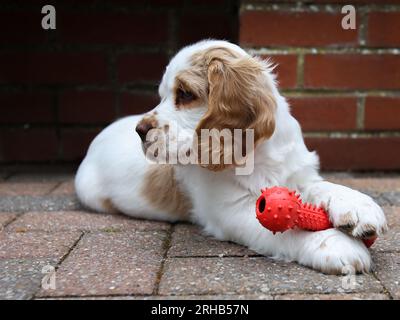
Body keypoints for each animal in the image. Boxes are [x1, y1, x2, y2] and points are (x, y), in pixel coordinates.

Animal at [75, 39, 388, 276]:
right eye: (163, 95)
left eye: (184, 94)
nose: (140, 130)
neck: (256, 156)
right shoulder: (230, 210)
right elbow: (287, 229)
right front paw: (335, 243)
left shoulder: (297, 176)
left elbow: (323, 186)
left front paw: (358, 205)